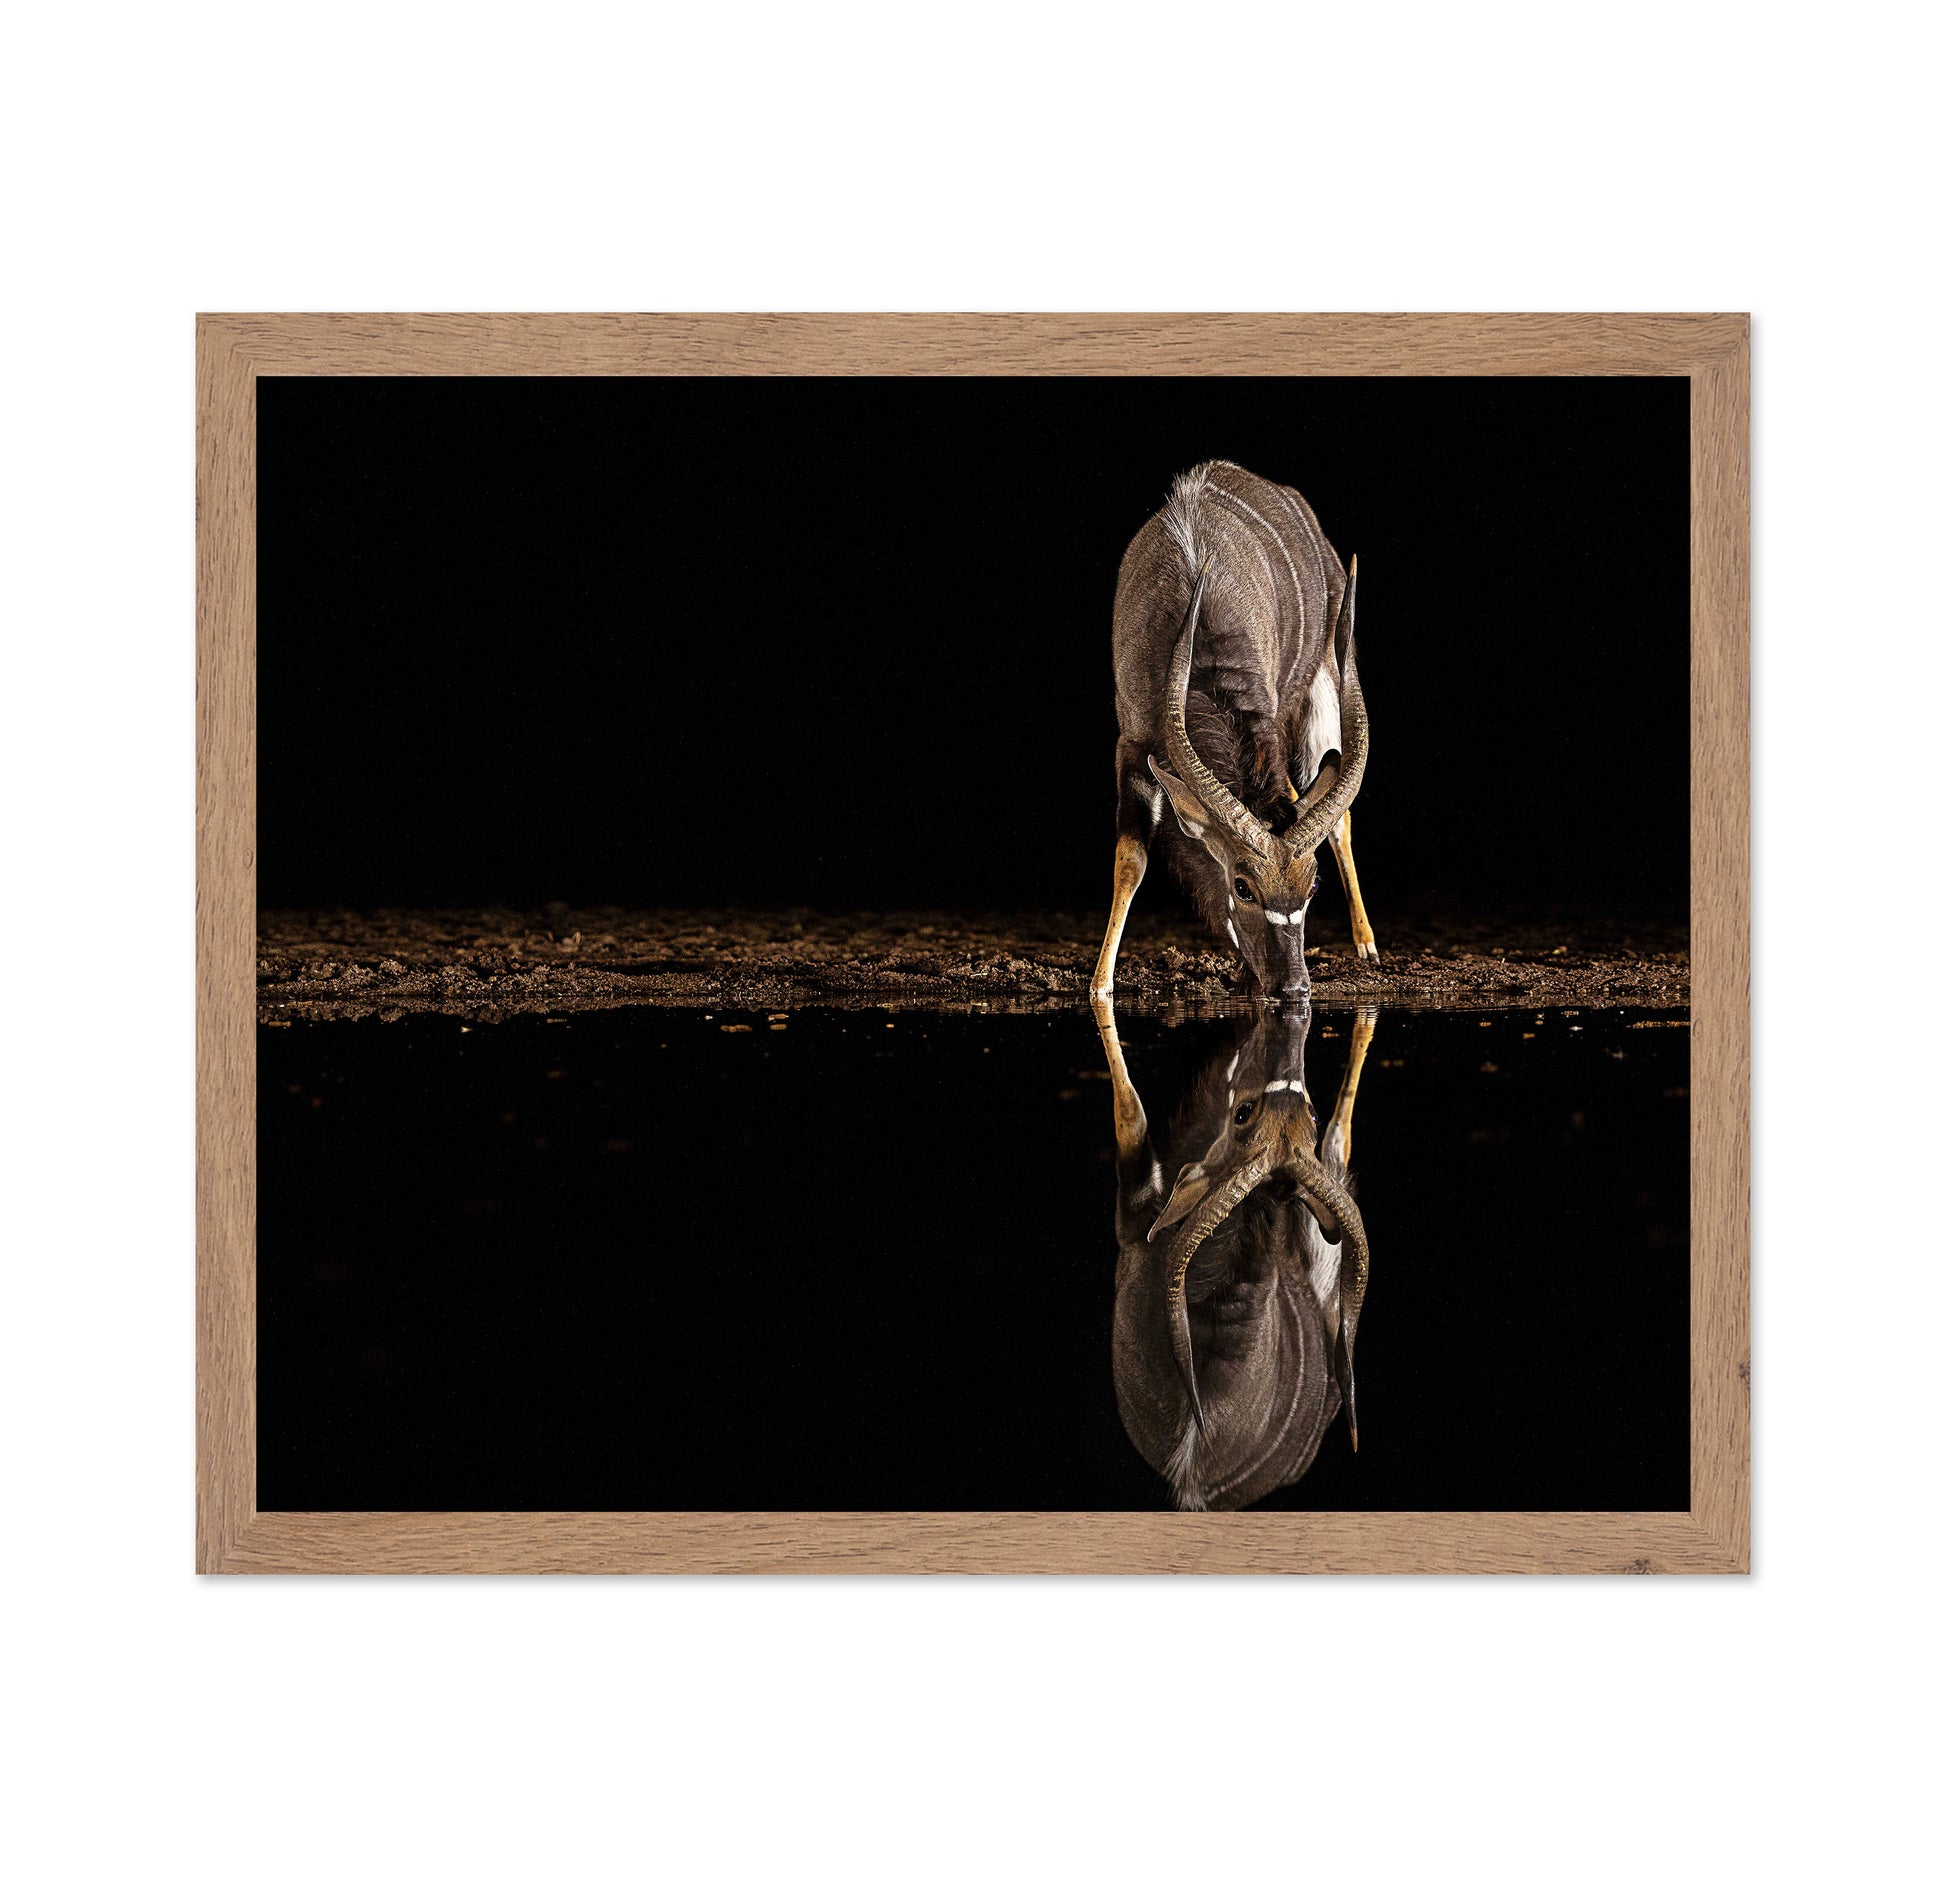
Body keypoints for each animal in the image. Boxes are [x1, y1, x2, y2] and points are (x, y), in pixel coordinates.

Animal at [1090, 462, 1377, 1003]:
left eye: (1312, 888)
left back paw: (1368, 947)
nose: (1294, 986)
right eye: (1242, 886)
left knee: (1337, 817)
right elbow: (1130, 859)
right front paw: (1099, 986)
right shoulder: (1131, 744)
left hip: (1324, 686)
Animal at [1097, 1002, 1376, 1512]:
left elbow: (1128, 1112)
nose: (1288, 1087)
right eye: (1245, 1113)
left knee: (1339, 1138)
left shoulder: (1135, 1213)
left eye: (1309, 1110)